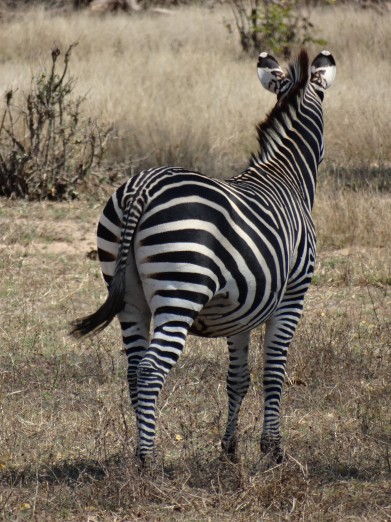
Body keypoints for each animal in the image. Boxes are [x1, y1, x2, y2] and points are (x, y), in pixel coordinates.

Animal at [71, 48, 336, 464]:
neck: (287, 176)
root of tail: (143, 187)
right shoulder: (293, 295)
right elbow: (274, 372)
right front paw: (273, 449)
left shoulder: (244, 309)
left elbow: (238, 377)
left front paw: (229, 449)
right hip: (181, 288)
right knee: (150, 370)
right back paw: (150, 459)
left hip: (128, 294)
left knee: (133, 369)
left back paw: (140, 452)